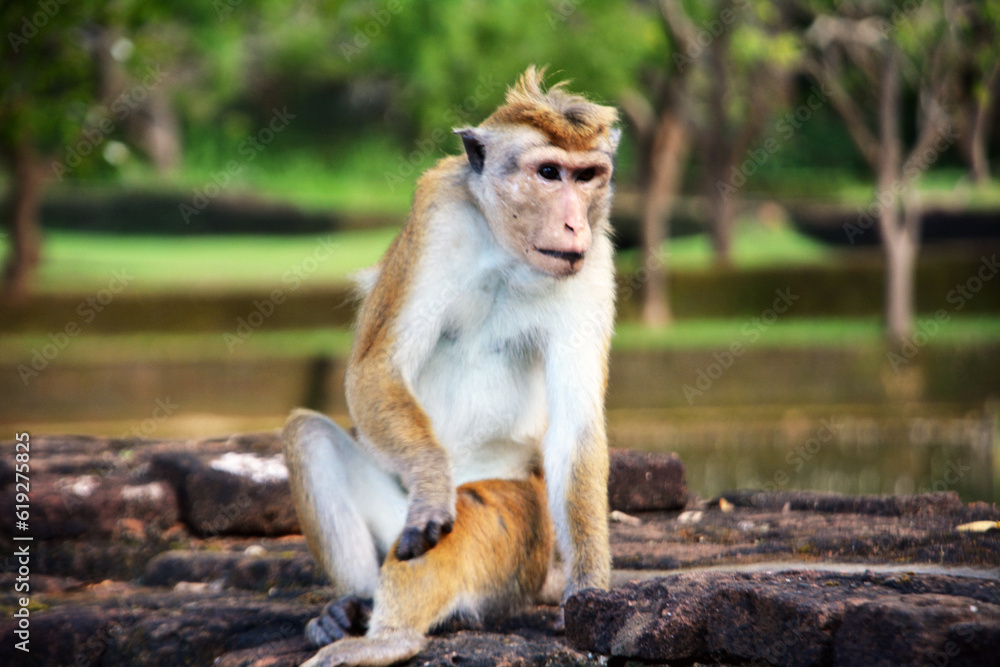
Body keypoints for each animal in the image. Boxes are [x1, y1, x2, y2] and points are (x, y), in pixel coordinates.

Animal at [282, 64, 620, 667]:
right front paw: (433, 484)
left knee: (457, 529)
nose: (574, 225)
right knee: (311, 438)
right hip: (395, 504)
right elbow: (376, 368)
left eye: (588, 177)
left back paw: (391, 637)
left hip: (520, 518)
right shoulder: (438, 214)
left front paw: (589, 595)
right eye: (549, 173)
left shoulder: (595, 262)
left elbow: (575, 429)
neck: (505, 250)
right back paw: (352, 607)